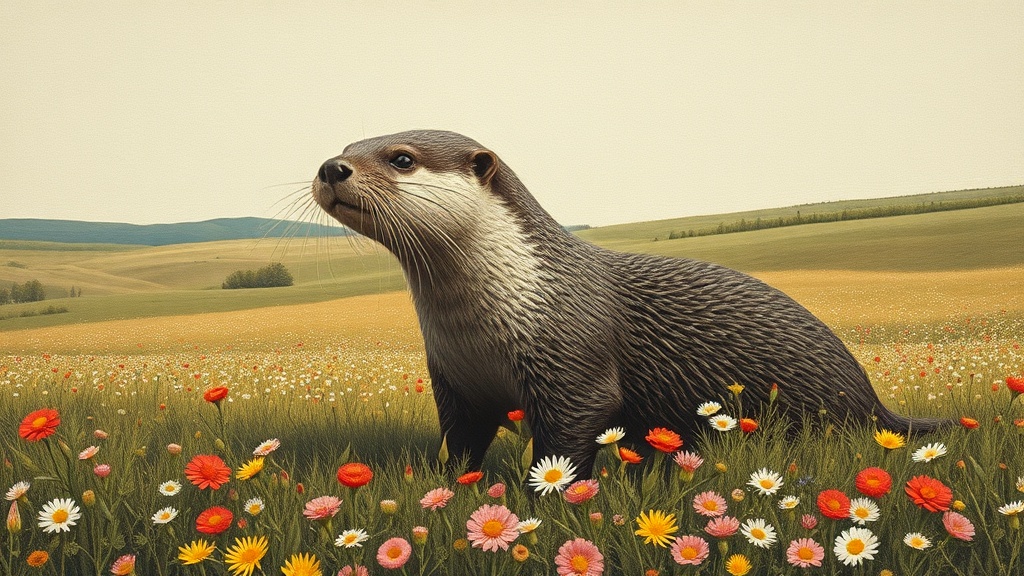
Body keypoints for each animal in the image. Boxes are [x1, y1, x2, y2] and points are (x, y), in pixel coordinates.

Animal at [311, 130, 947, 475]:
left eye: (401, 158)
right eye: (347, 145)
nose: (331, 166)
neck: (480, 330)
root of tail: (867, 394)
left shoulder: (573, 369)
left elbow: (565, 450)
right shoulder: (454, 381)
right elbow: (459, 449)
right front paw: (442, 489)